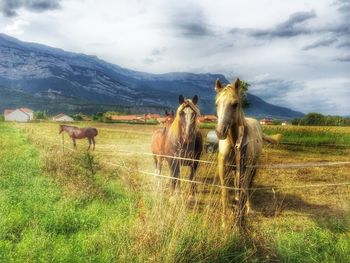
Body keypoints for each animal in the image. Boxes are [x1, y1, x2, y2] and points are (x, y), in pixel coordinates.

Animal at [215, 79, 280, 227]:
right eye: (216, 103)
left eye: (235, 104)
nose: (220, 132)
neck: (235, 143)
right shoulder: (223, 167)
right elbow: (225, 192)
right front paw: (224, 222)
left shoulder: (247, 167)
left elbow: (244, 189)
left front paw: (241, 214)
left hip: (252, 167)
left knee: (248, 186)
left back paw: (249, 208)